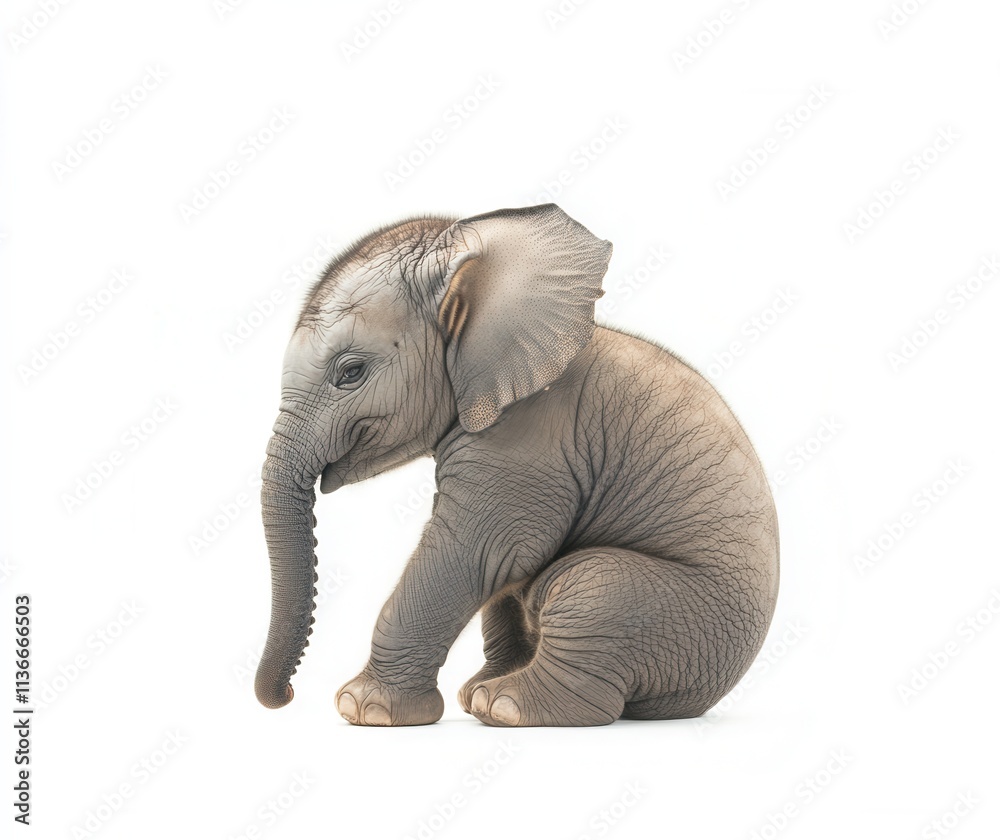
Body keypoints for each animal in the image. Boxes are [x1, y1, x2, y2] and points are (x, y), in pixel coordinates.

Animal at [254, 203, 779, 727]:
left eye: (351, 373)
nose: (286, 696)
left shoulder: (531, 437)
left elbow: (478, 550)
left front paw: (364, 709)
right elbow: (494, 565)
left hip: (680, 617)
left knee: (584, 588)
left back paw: (503, 706)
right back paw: (481, 694)